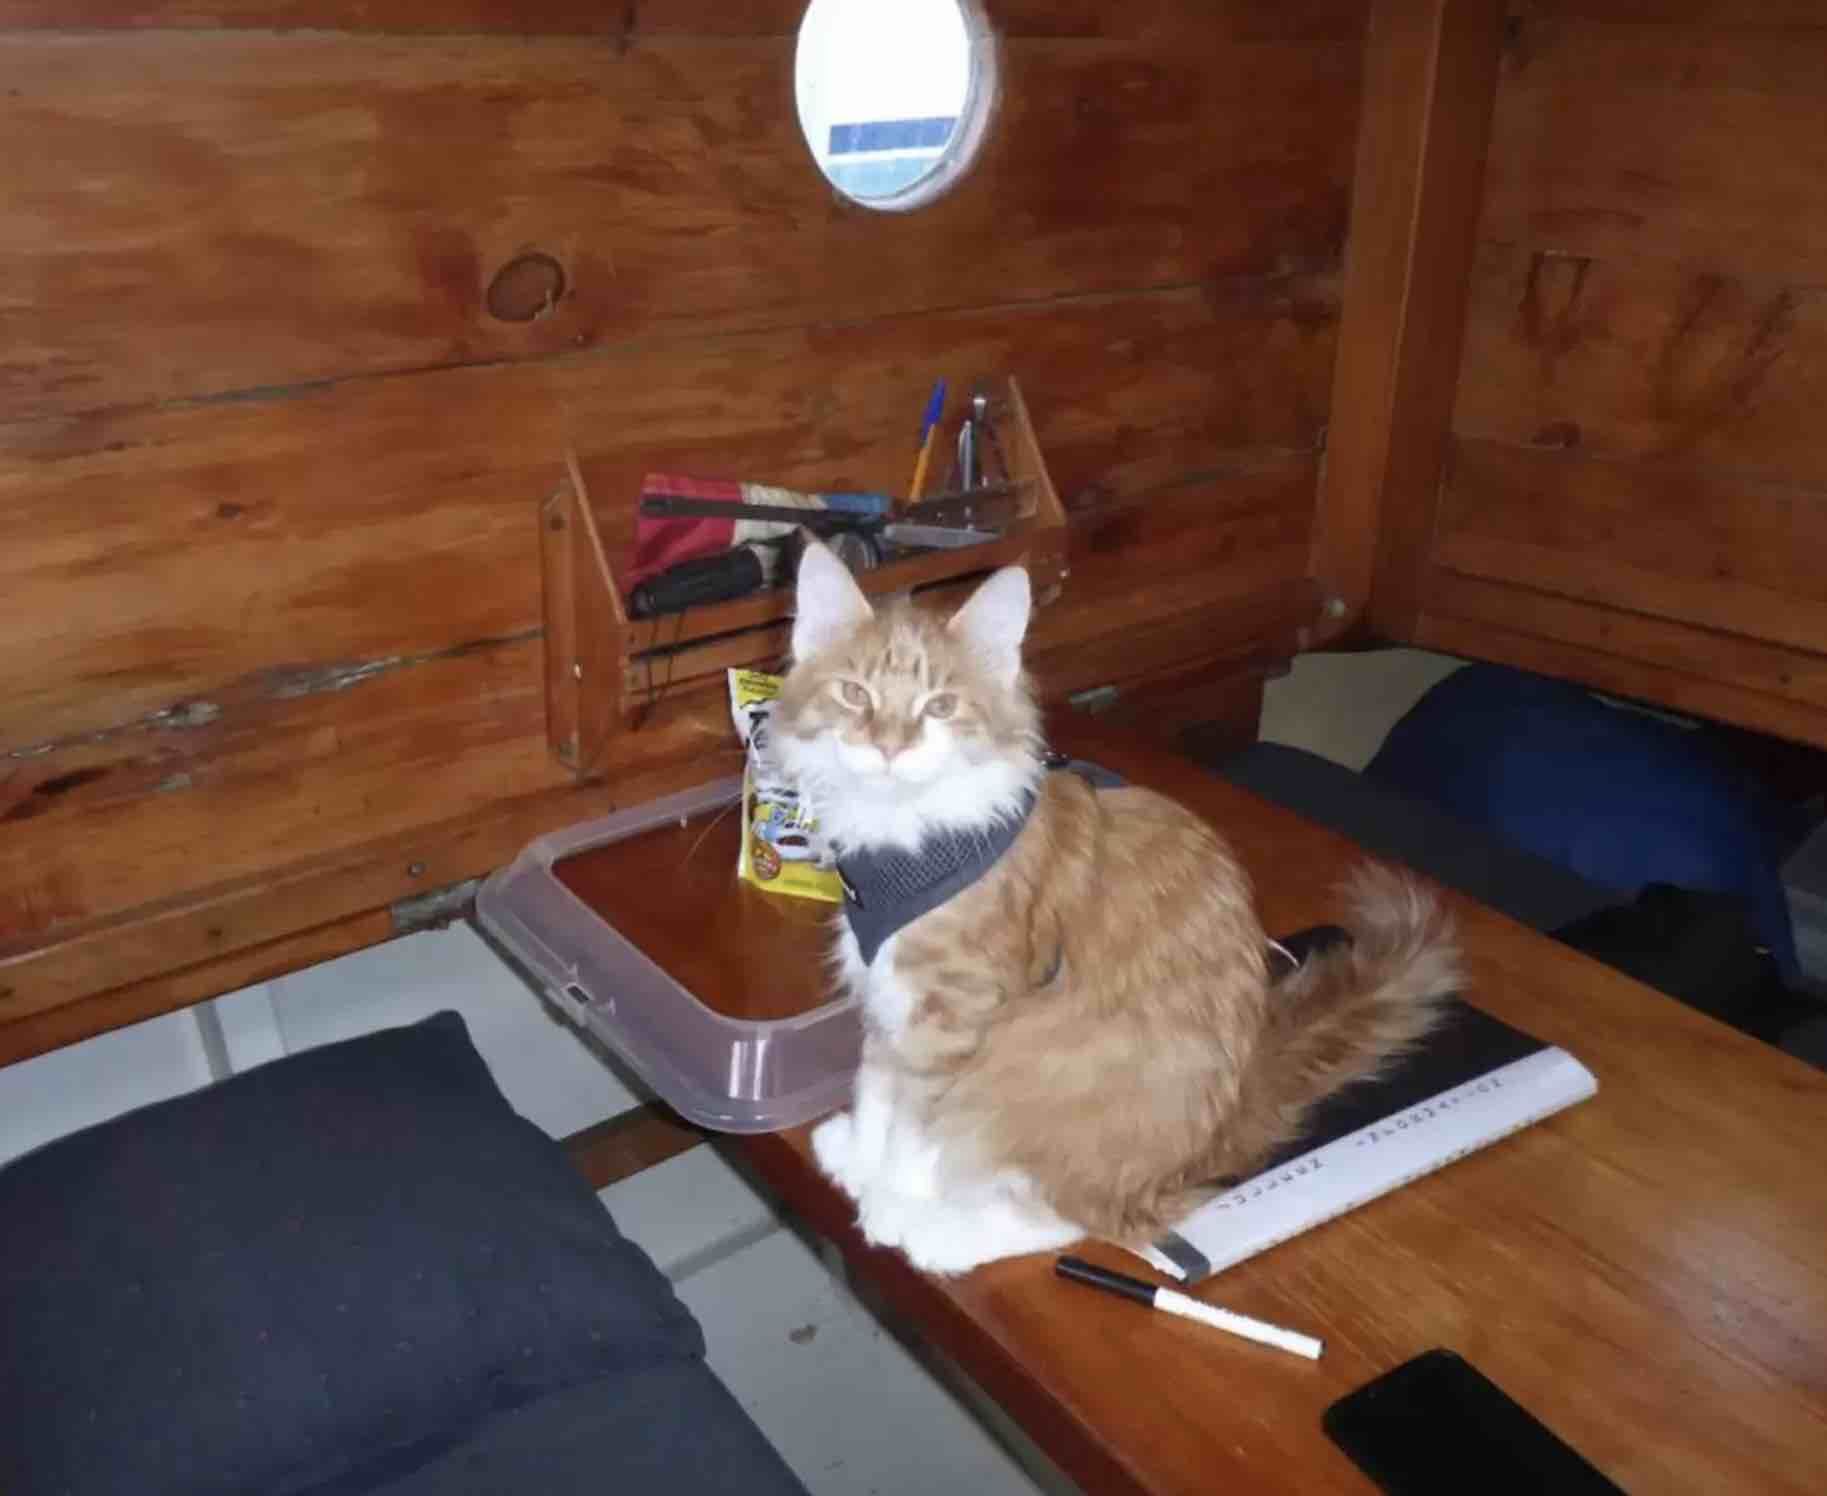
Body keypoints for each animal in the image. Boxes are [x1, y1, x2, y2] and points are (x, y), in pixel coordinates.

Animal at [770, 544, 1454, 1278]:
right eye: (855, 694)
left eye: (941, 706)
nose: (889, 746)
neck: (904, 841)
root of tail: (1228, 1119)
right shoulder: (885, 994)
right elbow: (875, 1086)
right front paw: (859, 1159)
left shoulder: (953, 1015)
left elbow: (914, 1131)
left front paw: (890, 1199)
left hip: (1046, 1072)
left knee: (1081, 1215)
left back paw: (938, 1233)